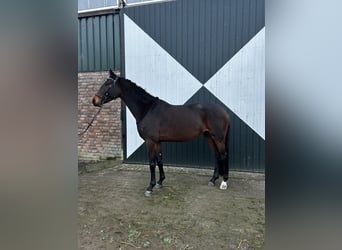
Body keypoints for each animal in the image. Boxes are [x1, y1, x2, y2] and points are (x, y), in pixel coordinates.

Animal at [91, 69, 230, 196]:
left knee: (223, 155)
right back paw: (212, 180)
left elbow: (152, 163)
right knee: (216, 155)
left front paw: (150, 188)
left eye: (108, 84)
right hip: (209, 136)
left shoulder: (150, 141)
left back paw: (224, 183)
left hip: (218, 138)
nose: (94, 100)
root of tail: (223, 111)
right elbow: (160, 160)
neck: (147, 109)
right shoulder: (157, 141)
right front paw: (159, 182)